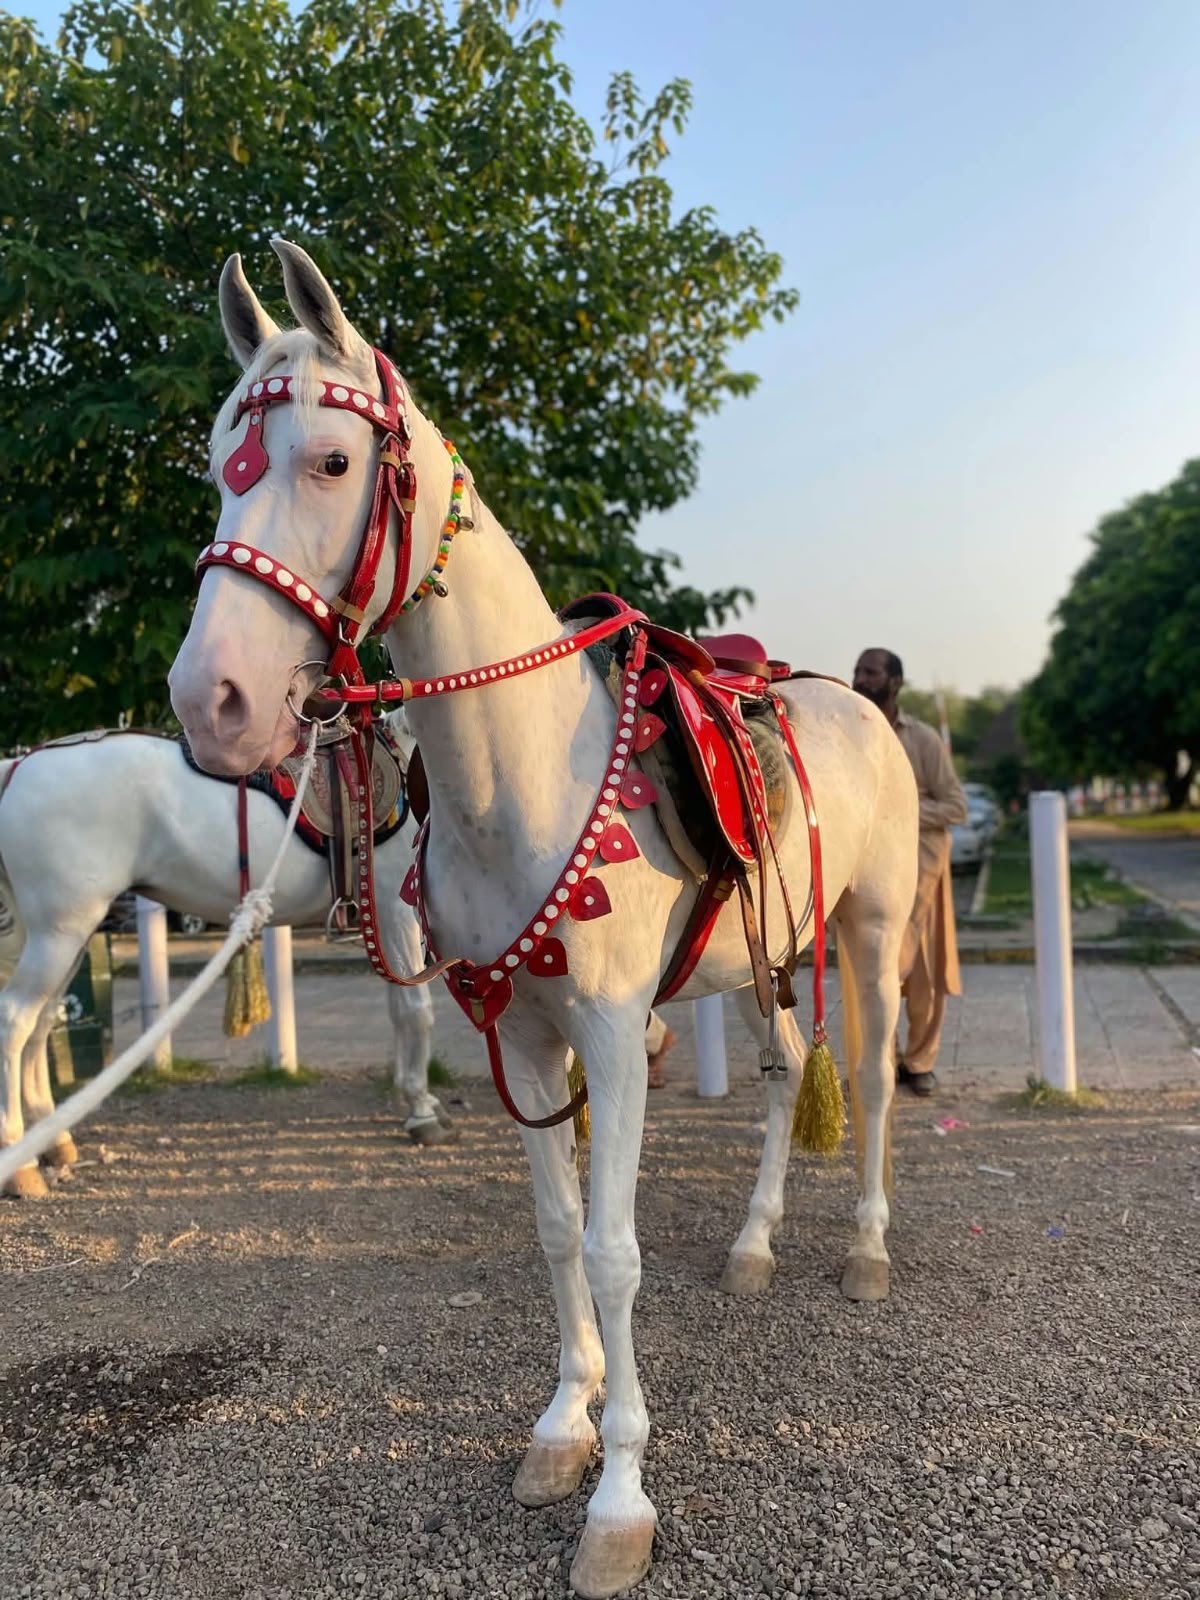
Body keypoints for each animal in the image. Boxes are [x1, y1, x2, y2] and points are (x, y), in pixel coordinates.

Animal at [0, 719, 448, 1199]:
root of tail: (19, 765)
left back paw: (53, 1141)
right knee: (15, 1021)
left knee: (41, 1026)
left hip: (66, 937)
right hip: (60, 935)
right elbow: (416, 1011)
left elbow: (398, 1009)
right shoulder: (396, 911)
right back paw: (19, 1164)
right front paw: (422, 1112)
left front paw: (415, 1098)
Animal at [168, 241, 918, 1599]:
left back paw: (866, 1251)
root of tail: (855, 701)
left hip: (873, 935)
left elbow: (616, 1252)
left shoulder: (614, 1037)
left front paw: (619, 1499)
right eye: (215, 465)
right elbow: (560, 1232)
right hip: (764, 960)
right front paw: (564, 1428)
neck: (515, 770)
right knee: (790, 1076)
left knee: (875, 1084)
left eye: (334, 462)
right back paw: (755, 1244)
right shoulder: (517, 1033)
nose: (214, 701)